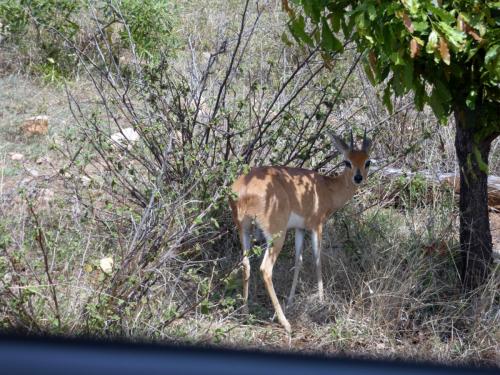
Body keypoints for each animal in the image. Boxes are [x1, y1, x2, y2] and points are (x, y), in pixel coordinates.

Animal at [229, 131, 372, 334]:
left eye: (367, 161)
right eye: (347, 161)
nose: (358, 178)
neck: (326, 188)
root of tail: (243, 190)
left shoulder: (299, 229)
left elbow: (299, 260)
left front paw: (290, 300)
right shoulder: (317, 226)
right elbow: (317, 260)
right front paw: (322, 301)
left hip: (244, 231)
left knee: (245, 264)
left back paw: (245, 312)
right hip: (276, 235)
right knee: (265, 269)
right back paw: (285, 323)